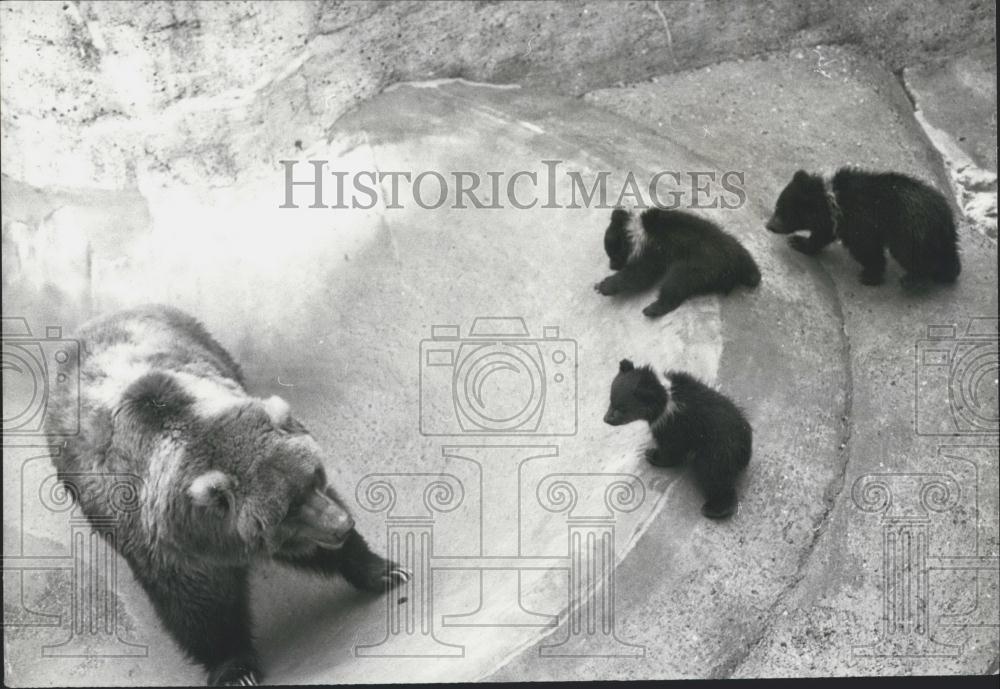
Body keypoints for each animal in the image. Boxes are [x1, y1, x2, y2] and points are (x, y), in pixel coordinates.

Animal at [44, 305, 408, 686]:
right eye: (288, 508)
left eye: (314, 478)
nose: (341, 524)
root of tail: (99, 320)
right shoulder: (171, 545)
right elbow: (201, 606)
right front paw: (236, 669)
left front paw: (386, 570)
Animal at [594, 206, 761, 318]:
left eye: (613, 255)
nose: (612, 266)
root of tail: (735, 267)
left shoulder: (655, 249)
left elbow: (640, 274)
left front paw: (603, 285)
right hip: (738, 248)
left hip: (699, 265)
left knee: (676, 282)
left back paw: (652, 309)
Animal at [603, 359, 752, 519]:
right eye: (611, 401)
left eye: (621, 409)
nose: (605, 419)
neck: (663, 398)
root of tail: (744, 450)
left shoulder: (673, 425)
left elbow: (672, 449)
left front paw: (651, 454)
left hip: (715, 451)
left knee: (714, 478)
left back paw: (714, 509)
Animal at [765, 167, 961, 287]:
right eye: (777, 207)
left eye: (782, 212)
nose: (769, 225)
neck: (833, 201)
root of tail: (946, 219)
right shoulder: (835, 222)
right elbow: (822, 235)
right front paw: (800, 242)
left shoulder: (861, 222)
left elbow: (866, 249)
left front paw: (869, 276)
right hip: (936, 238)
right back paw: (946, 273)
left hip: (910, 232)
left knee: (913, 257)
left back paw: (912, 280)